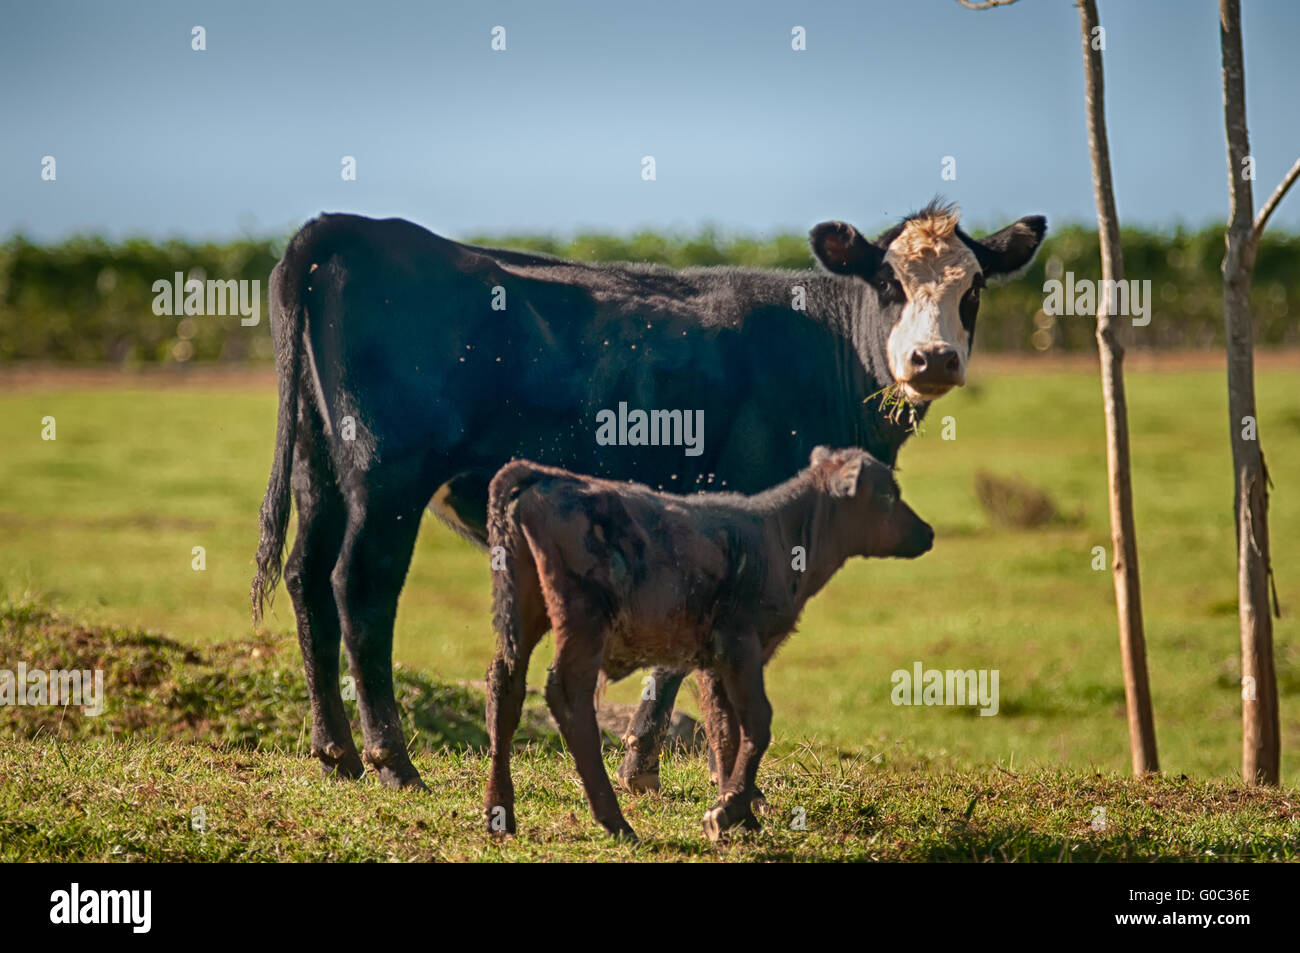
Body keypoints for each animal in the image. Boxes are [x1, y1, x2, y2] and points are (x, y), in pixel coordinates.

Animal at [250, 200, 1045, 790]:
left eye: (973, 288)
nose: (932, 359)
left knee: (305, 577)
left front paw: (643, 766)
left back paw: (336, 752)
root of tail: (351, 226)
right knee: (359, 589)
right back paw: (393, 761)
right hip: (388, 476)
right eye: (887, 284)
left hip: (320, 466)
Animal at [483, 447, 930, 842]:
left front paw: (742, 815)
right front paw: (727, 811)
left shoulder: (715, 661)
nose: (927, 532)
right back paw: (616, 822)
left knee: (505, 686)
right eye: (888, 494)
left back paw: (499, 813)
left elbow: (723, 727)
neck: (779, 536)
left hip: (523, 609)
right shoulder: (740, 646)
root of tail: (544, 476)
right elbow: (756, 721)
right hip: (583, 620)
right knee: (567, 694)